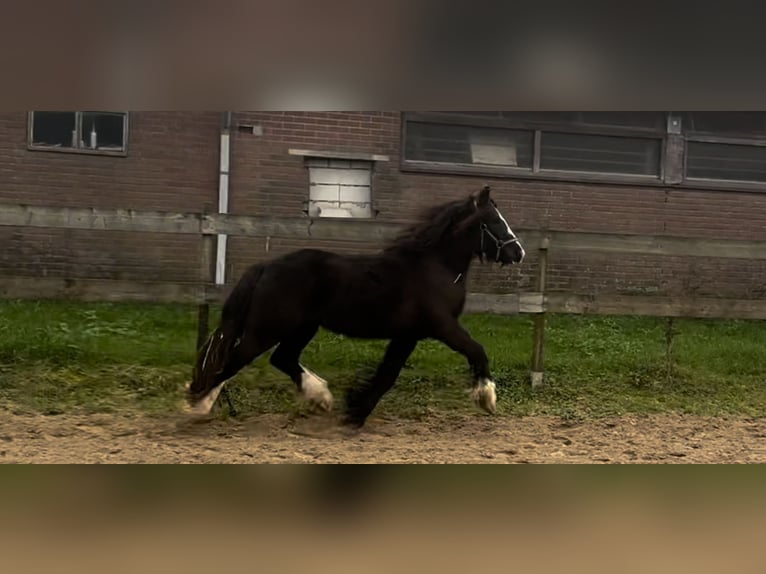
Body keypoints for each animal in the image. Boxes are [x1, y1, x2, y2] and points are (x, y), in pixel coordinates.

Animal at [188, 184, 528, 428]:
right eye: (493, 222)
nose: (518, 252)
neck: (434, 268)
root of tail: (265, 267)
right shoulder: (443, 326)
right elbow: (477, 350)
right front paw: (487, 398)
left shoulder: (408, 335)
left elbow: (387, 374)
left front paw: (355, 410)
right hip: (268, 328)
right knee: (233, 360)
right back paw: (198, 406)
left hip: (302, 328)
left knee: (282, 359)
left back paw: (321, 398)